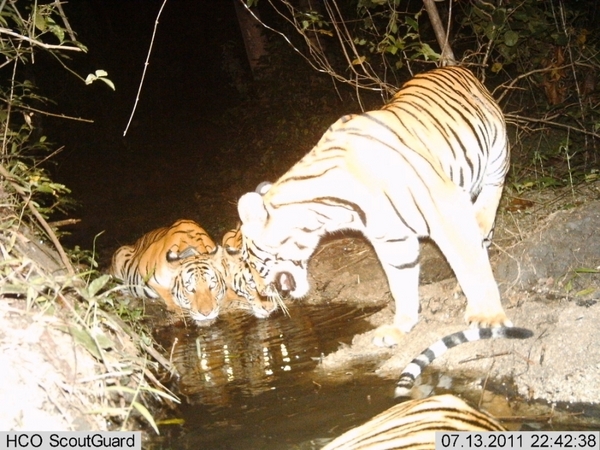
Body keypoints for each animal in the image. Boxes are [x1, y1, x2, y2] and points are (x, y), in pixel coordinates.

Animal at [237, 65, 512, 346]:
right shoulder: (392, 239)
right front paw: (399, 327)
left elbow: (470, 265)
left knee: (490, 200)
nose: (262, 292)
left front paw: (488, 317)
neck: (333, 212)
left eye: (251, 262)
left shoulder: (446, 208)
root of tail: (456, 66)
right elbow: (401, 282)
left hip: (497, 157)